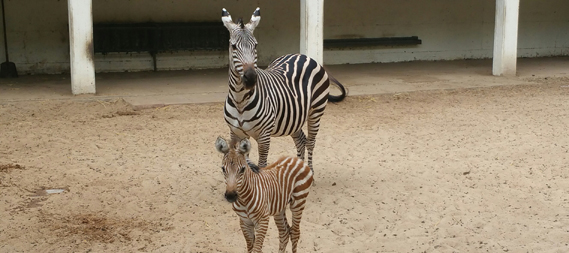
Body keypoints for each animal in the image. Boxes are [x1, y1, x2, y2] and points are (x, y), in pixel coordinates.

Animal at [221, 7, 346, 173]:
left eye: (255, 46)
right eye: (234, 46)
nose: (251, 78)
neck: (240, 100)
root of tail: (302, 55)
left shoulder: (264, 136)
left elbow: (262, 165)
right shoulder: (234, 133)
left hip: (316, 111)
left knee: (311, 142)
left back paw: (310, 171)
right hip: (294, 118)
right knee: (301, 140)